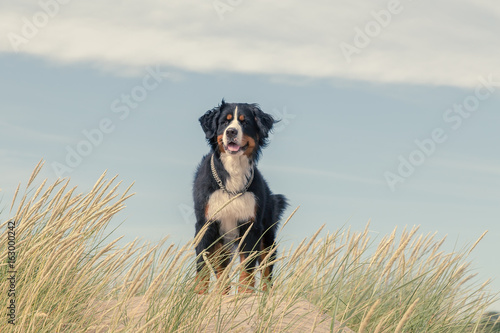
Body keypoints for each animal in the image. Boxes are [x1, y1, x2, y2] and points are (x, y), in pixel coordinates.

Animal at [192, 99, 288, 294]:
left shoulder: (251, 225)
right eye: (224, 122)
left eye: (245, 122)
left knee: (266, 272)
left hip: (267, 238)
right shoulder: (206, 224)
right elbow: (203, 265)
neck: (233, 170)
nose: (231, 132)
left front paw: (245, 295)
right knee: (221, 271)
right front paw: (199, 295)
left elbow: (247, 267)